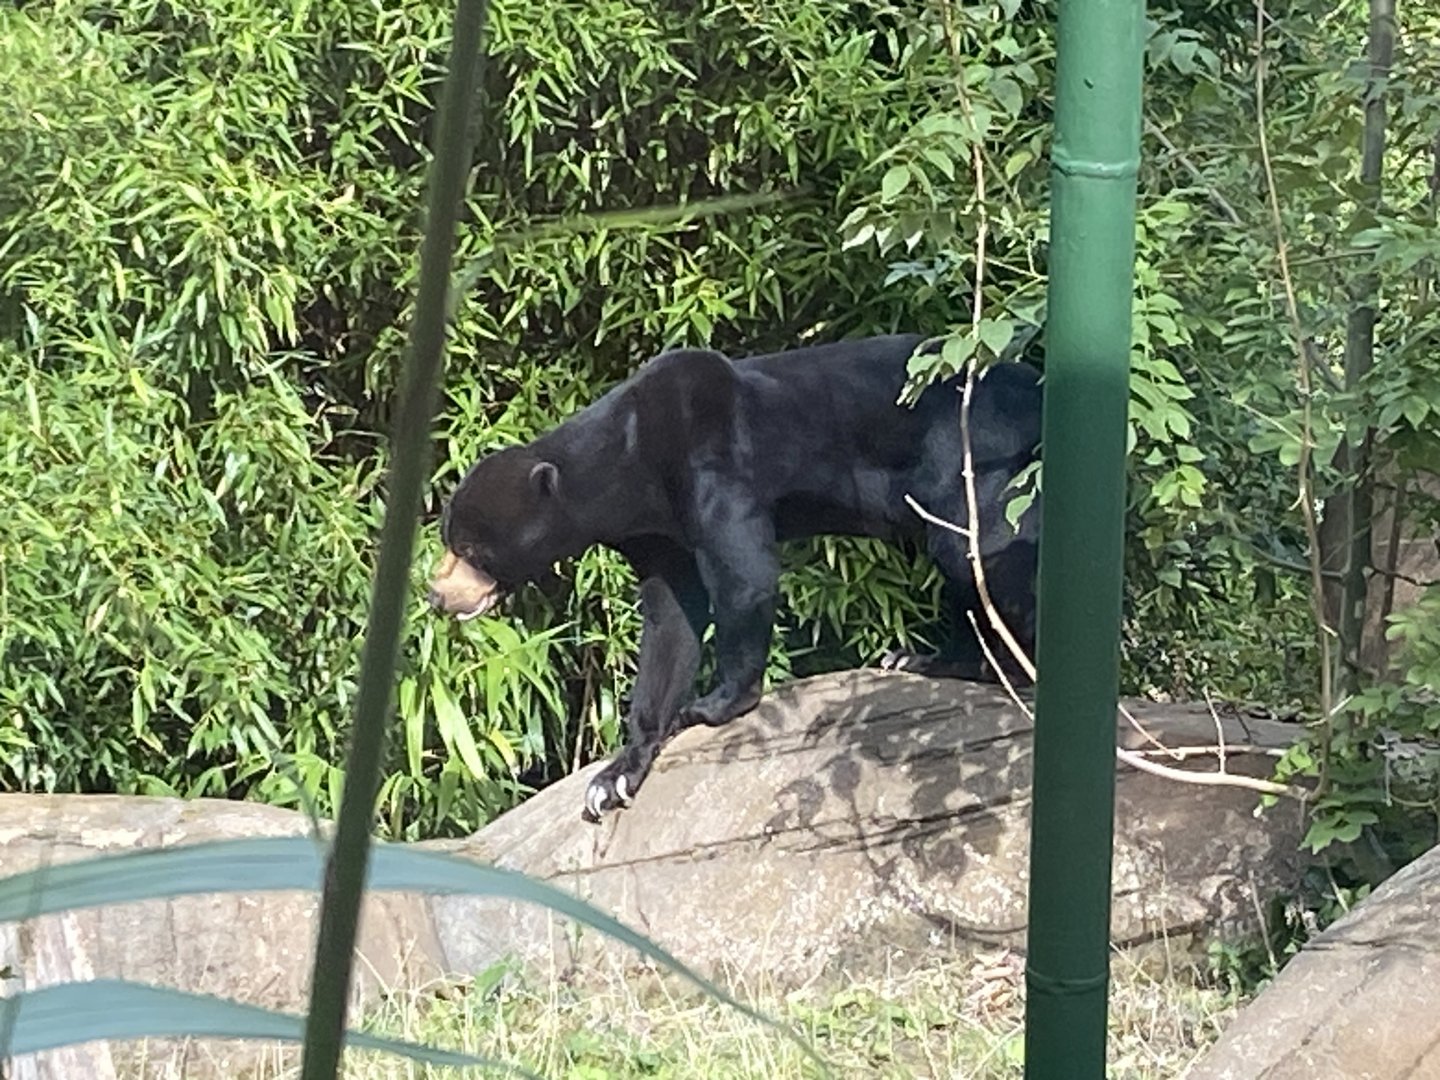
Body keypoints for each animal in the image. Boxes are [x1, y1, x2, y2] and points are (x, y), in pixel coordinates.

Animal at [429, 333, 1042, 822]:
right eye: (449, 538)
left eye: (471, 548)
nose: (437, 592)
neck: (627, 468)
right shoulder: (656, 536)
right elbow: (670, 622)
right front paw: (615, 777)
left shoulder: (708, 460)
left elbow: (743, 574)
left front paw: (712, 705)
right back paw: (921, 657)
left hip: (975, 465)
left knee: (979, 552)